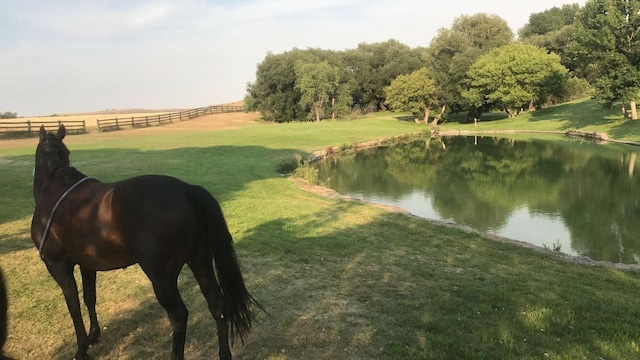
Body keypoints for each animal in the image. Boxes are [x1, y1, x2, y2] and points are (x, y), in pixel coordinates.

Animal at [31, 124, 258, 360]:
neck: (57, 186)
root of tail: (187, 189)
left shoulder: (57, 265)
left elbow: (73, 304)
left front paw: (82, 348)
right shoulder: (87, 264)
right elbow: (89, 297)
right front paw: (94, 335)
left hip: (162, 277)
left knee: (179, 316)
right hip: (200, 261)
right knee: (217, 304)